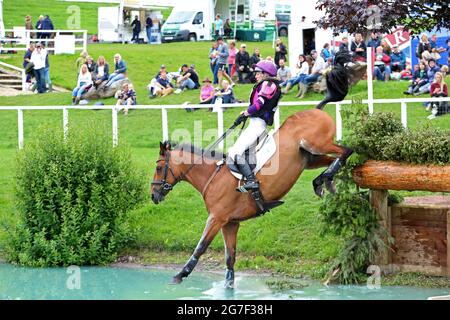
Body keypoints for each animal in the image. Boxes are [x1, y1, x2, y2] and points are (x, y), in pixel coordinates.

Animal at [151, 109, 352, 288]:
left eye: (159, 168)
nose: (153, 195)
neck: (213, 176)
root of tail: (317, 111)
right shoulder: (230, 223)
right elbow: (230, 257)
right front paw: (228, 286)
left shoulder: (216, 218)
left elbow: (200, 247)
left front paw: (180, 274)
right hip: (310, 158)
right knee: (335, 160)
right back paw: (325, 180)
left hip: (316, 144)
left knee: (346, 150)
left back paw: (325, 178)